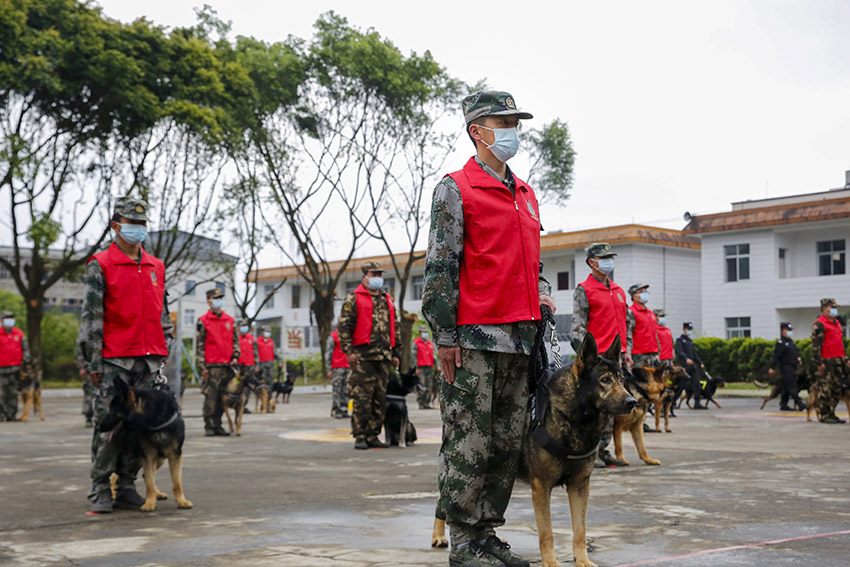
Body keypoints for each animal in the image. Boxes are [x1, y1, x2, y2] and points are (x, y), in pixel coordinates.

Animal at [98, 380, 191, 512]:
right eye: (110, 409)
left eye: (113, 411)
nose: (99, 427)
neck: (156, 420)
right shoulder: (148, 457)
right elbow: (150, 483)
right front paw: (149, 503)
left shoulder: (175, 456)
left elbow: (176, 482)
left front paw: (181, 501)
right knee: (115, 476)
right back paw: (114, 494)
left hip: (159, 459)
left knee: (143, 475)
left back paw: (157, 494)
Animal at [430, 336, 636, 567]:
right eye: (605, 380)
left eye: (622, 380)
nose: (632, 402)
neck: (571, 417)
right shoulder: (542, 487)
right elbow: (547, 532)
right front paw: (551, 562)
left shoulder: (580, 487)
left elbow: (580, 530)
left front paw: (582, 560)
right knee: (445, 500)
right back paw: (439, 536)